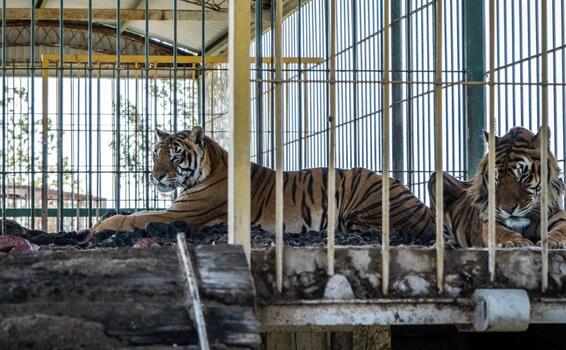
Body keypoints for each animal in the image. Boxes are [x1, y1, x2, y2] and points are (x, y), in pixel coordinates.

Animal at [90, 126, 434, 243]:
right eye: (156, 153)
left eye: (175, 155)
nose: (156, 175)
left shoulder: (182, 214)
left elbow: (134, 218)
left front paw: (98, 226)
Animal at [430, 127, 566, 247]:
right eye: (496, 178)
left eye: (524, 175)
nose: (508, 209)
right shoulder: (491, 220)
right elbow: (505, 233)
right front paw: (516, 242)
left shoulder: (557, 215)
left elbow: (560, 231)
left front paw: (553, 243)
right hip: (436, 177)